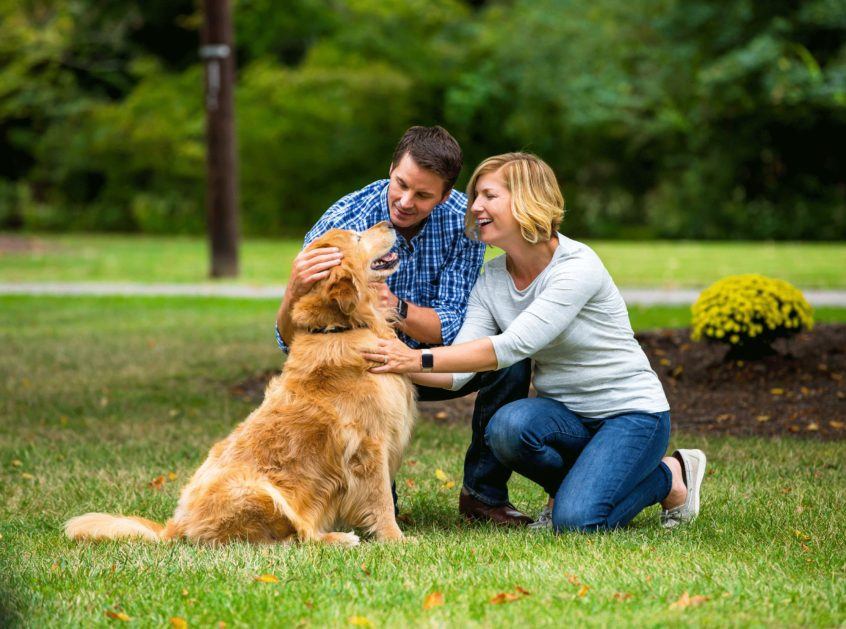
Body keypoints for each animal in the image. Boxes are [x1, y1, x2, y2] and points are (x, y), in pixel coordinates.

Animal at [64, 222, 416, 544]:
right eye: (357, 237)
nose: (389, 223)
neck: (341, 327)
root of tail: (173, 528)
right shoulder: (369, 445)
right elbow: (381, 500)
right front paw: (396, 539)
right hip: (262, 492)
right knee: (293, 539)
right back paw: (337, 538)